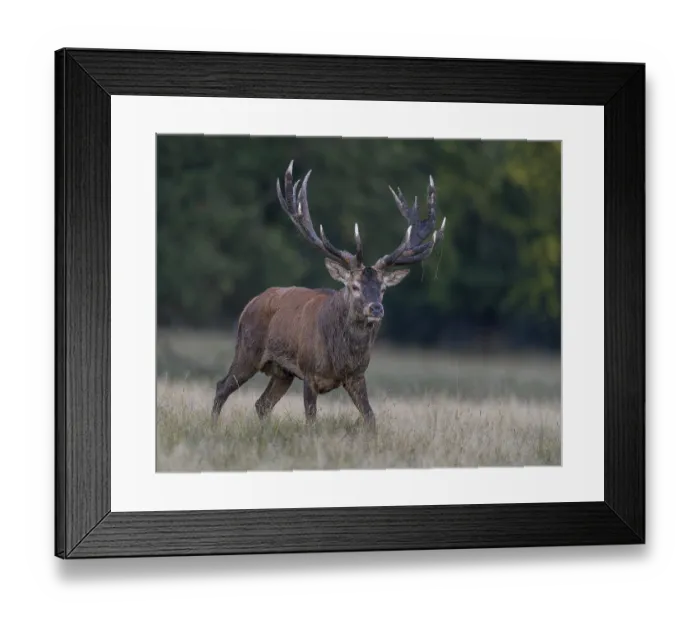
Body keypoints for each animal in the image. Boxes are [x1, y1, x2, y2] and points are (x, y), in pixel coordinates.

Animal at [210, 161, 446, 431]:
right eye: (354, 286)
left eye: (383, 288)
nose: (376, 308)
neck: (341, 356)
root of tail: (250, 303)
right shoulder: (309, 373)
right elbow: (311, 419)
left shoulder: (357, 376)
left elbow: (370, 418)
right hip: (248, 350)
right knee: (222, 387)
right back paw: (213, 425)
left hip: (282, 372)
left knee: (262, 404)